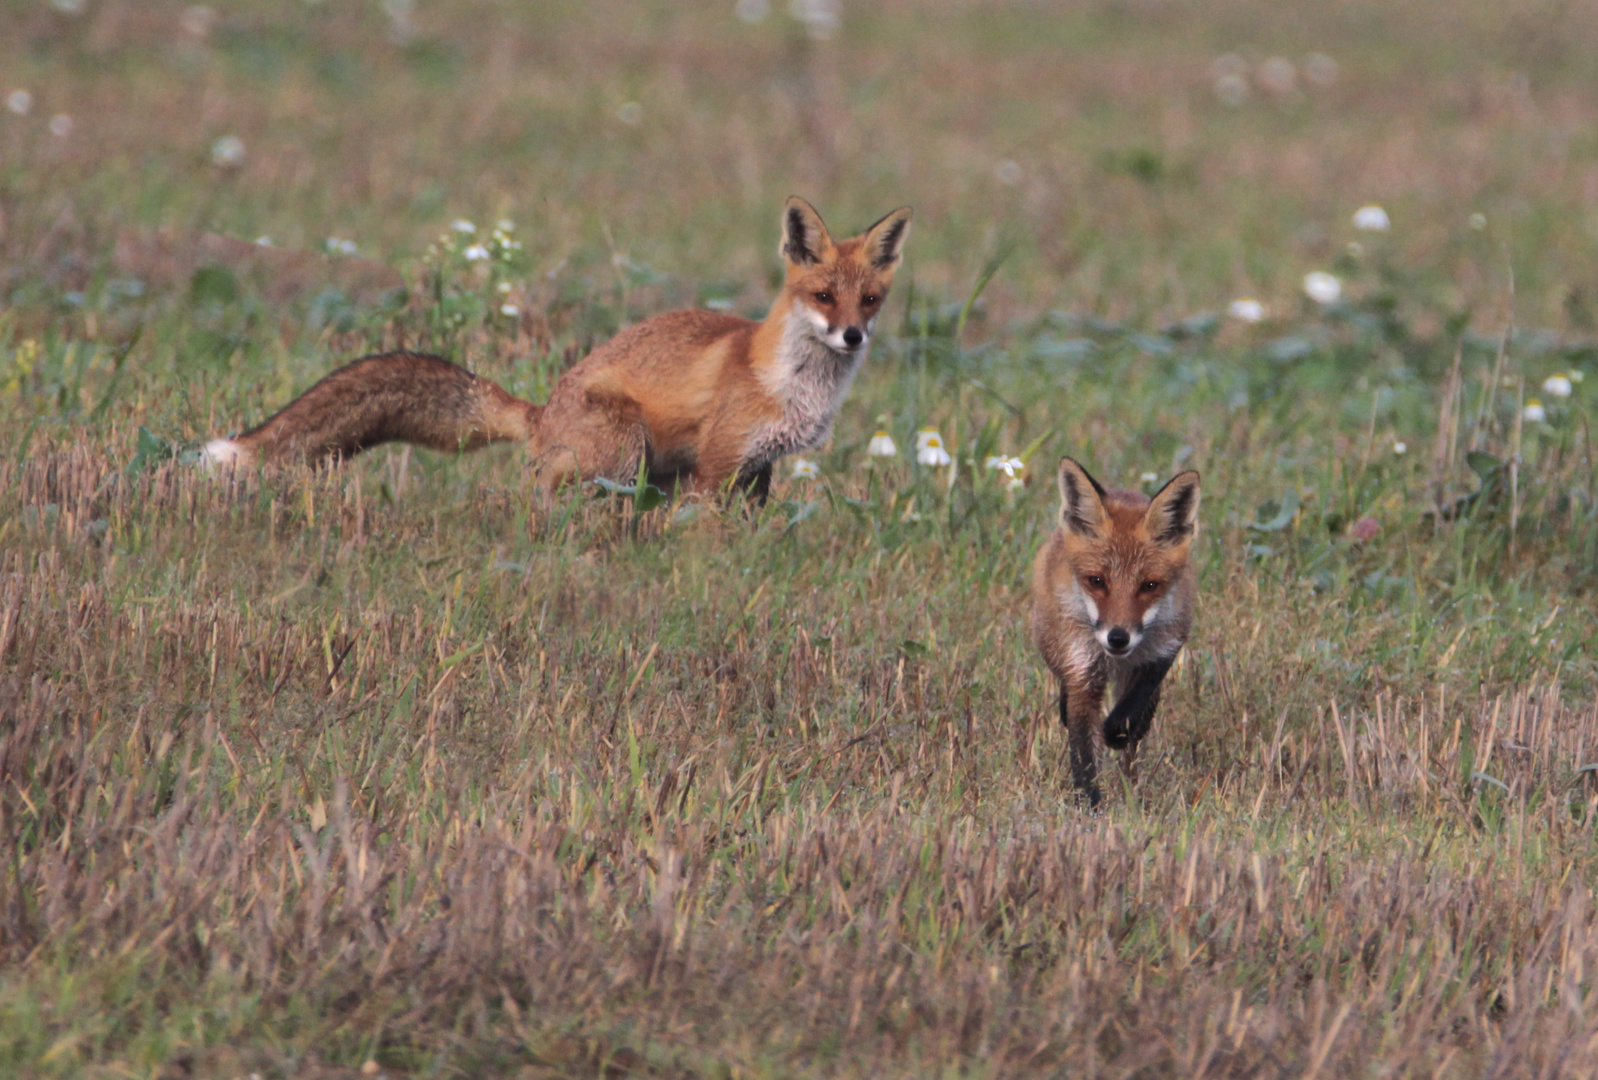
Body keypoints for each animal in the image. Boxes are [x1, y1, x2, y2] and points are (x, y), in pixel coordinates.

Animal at [202, 198, 914, 501]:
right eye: (823, 296)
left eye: (868, 300)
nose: (852, 336)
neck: (790, 382)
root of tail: (541, 413)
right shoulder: (717, 465)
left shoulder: (759, 468)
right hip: (625, 449)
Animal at [1035, 456, 1201, 811]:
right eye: (1097, 581)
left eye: (1149, 585)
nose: (1118, 637)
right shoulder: (1082, 669)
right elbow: (1083, 750)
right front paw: (1090, 807)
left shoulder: (1167, 645)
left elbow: (1130, 714)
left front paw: (1117, 731)